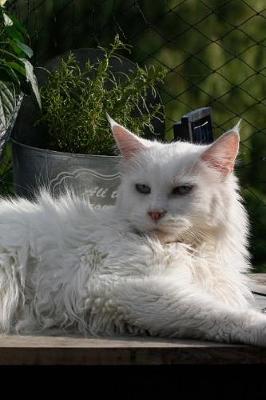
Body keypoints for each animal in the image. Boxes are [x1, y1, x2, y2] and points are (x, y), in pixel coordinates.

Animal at [0, 114, 266, 346]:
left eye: (182, 190)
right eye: (143, 189)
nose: (155, 213)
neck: (191, 252)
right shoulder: (121, 287)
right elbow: (216, 313)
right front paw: (259, 327)